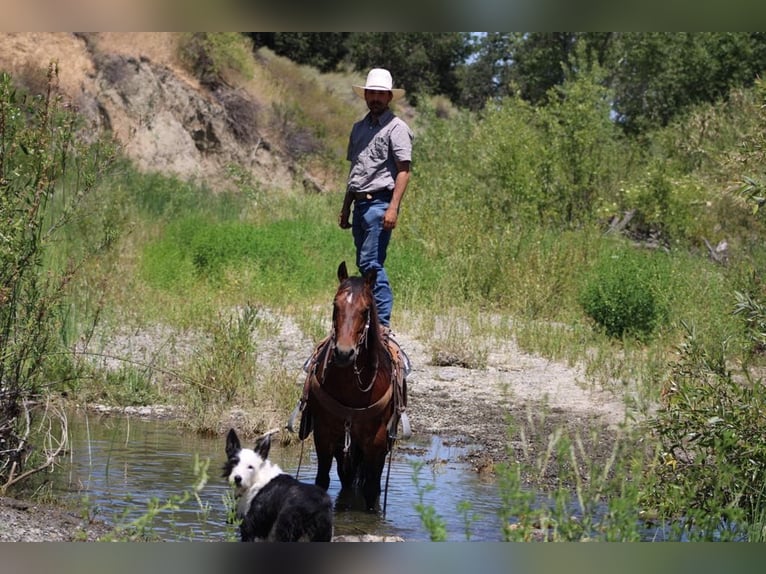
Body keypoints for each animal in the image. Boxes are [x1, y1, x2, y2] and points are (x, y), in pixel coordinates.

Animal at [296, 261, 407, 512]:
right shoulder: (324, 433)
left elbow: (371, 489)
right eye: (335, 305)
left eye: (365, 310)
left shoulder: (377, 441)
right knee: (346, 477)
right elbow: (322, 480)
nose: (344, 353)